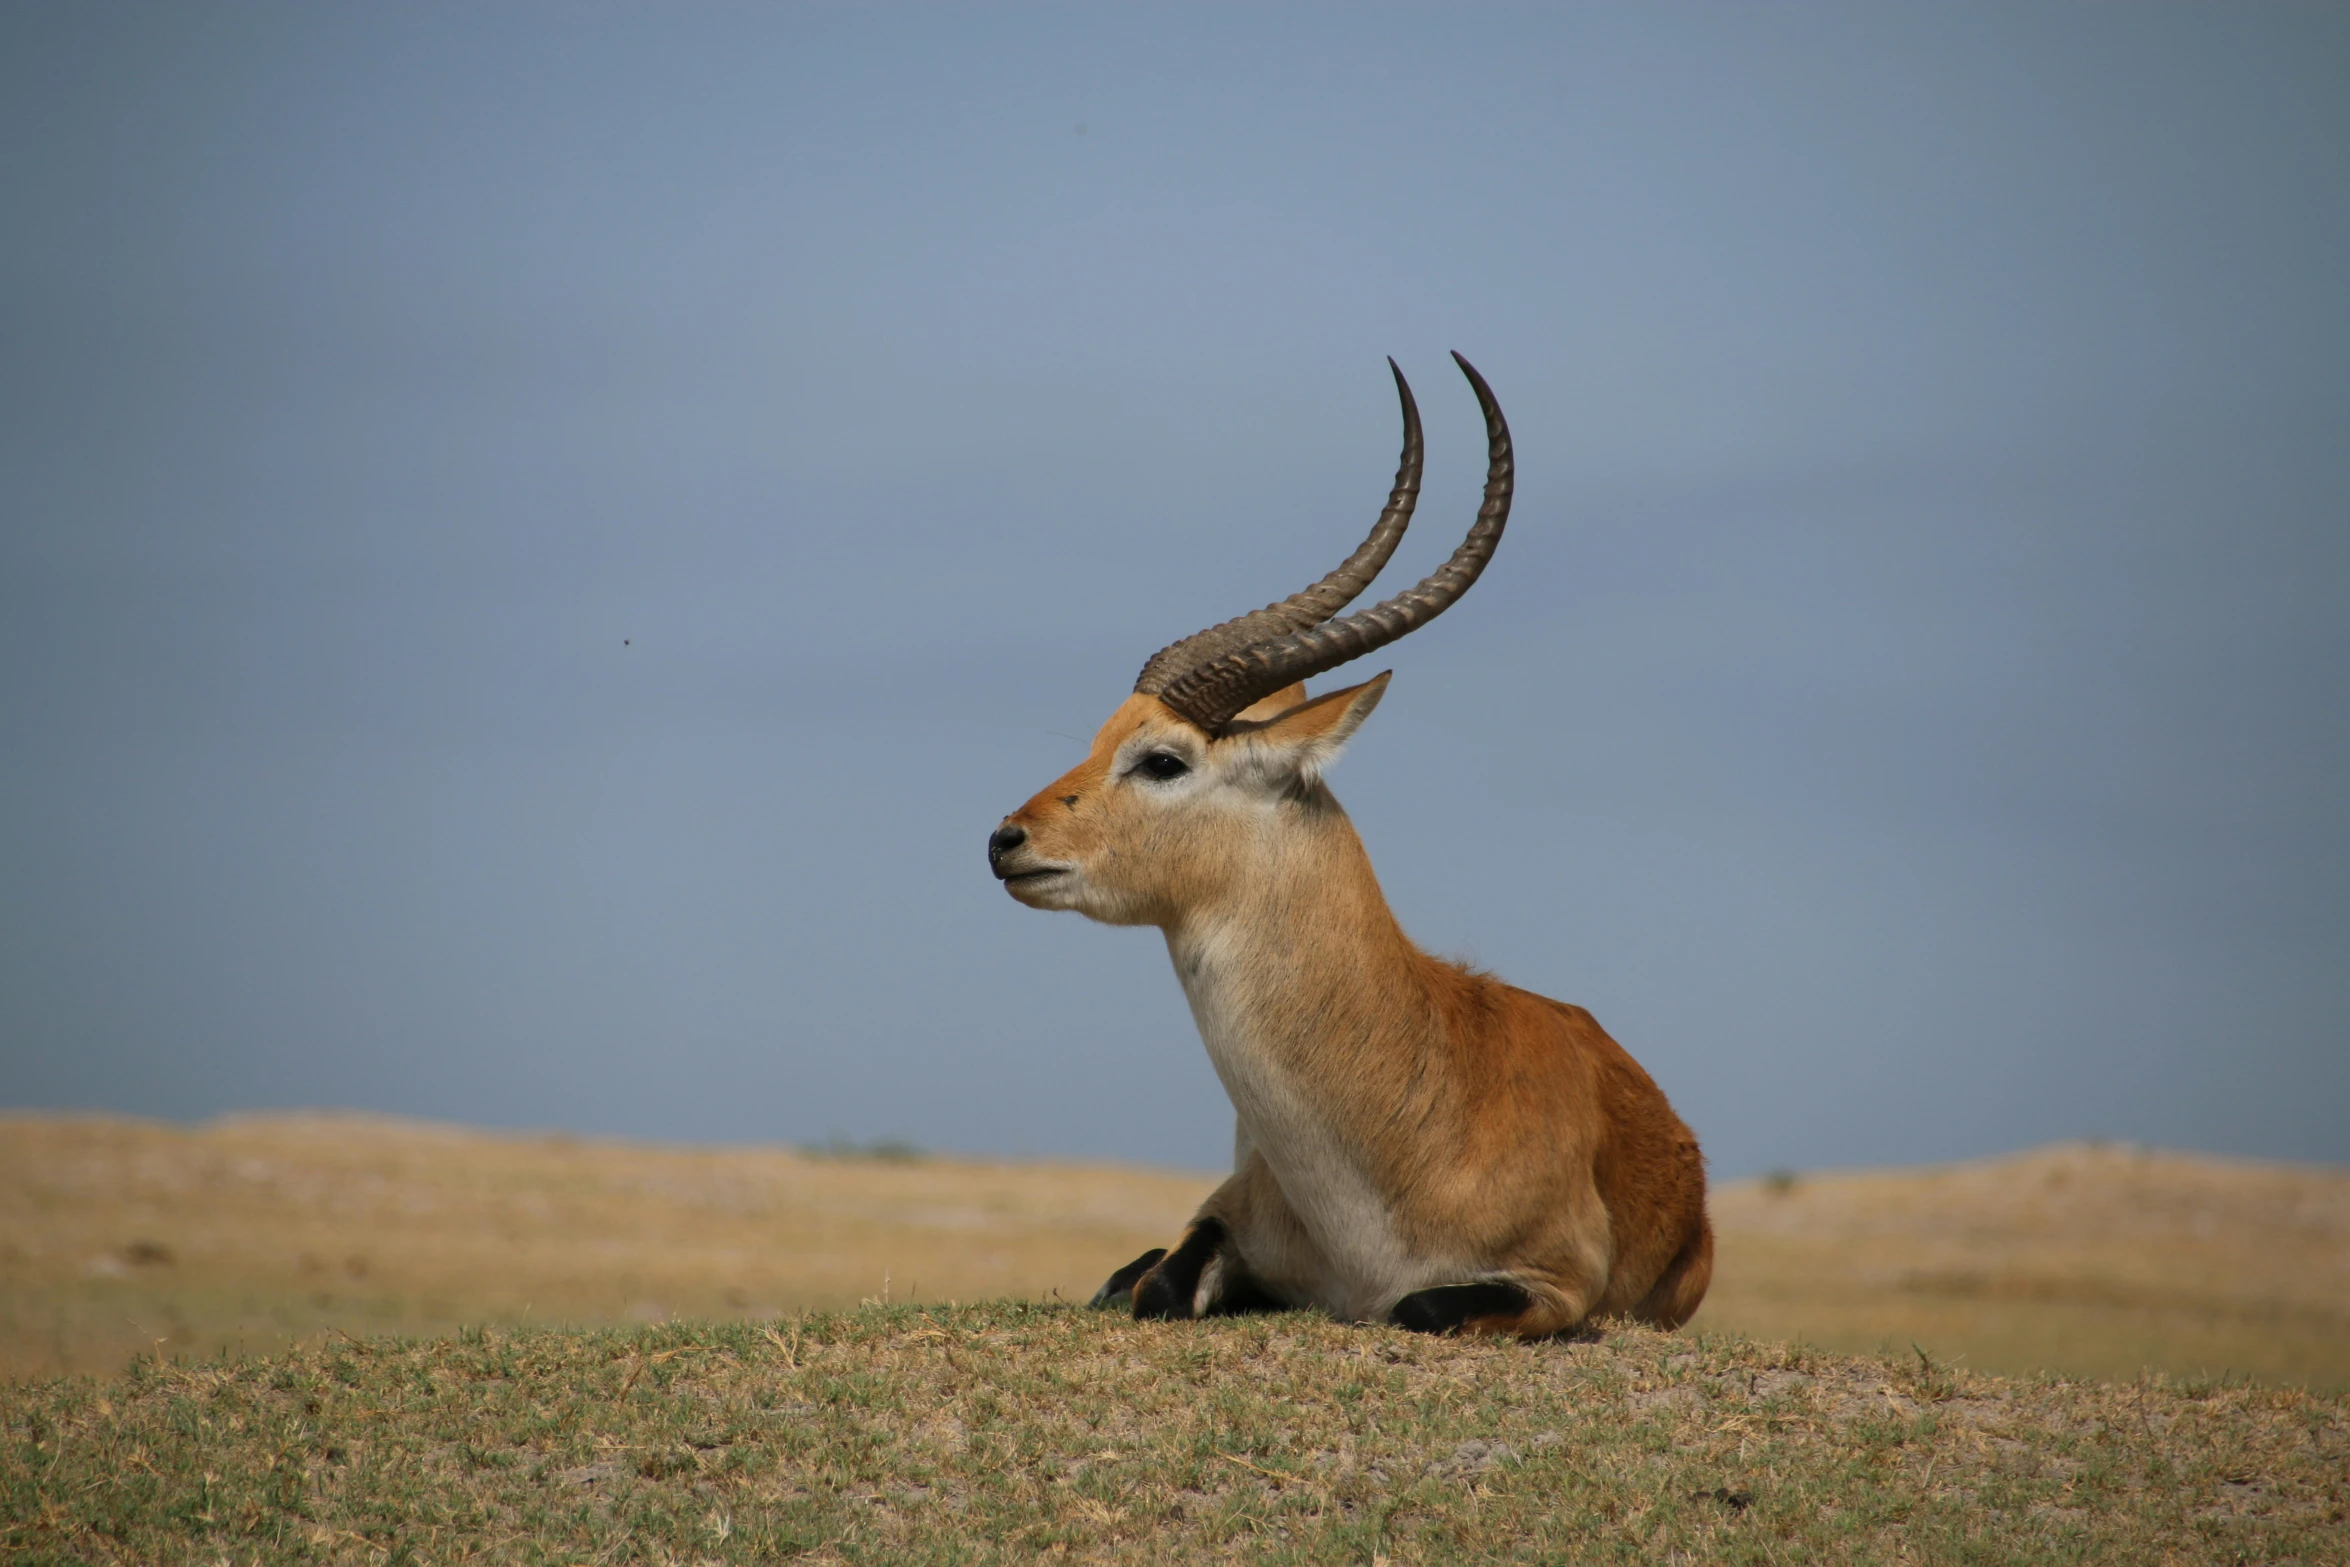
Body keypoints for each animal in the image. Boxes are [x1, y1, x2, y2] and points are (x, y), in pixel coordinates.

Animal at [986, 354, 1710, 1334]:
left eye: (1163, 759)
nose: (1007, 838)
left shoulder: (1557, 1282)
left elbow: (1417, 1305)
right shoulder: (1225, 1221)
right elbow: (1161, 1286)